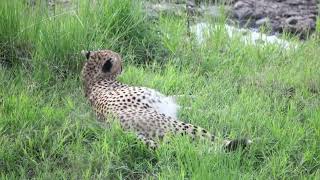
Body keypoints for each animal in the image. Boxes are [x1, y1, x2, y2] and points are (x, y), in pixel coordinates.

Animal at [81, 48, 251, 150]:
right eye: (119, 61)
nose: (124, 65)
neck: (93, 80)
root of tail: (121, 128)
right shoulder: (163, 102)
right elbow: (187, 102)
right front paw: (221, 108)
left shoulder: (167, 101)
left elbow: (185, 99)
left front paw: (208, 102)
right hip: (179, 126)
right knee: (210, 143)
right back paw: (238, 143)